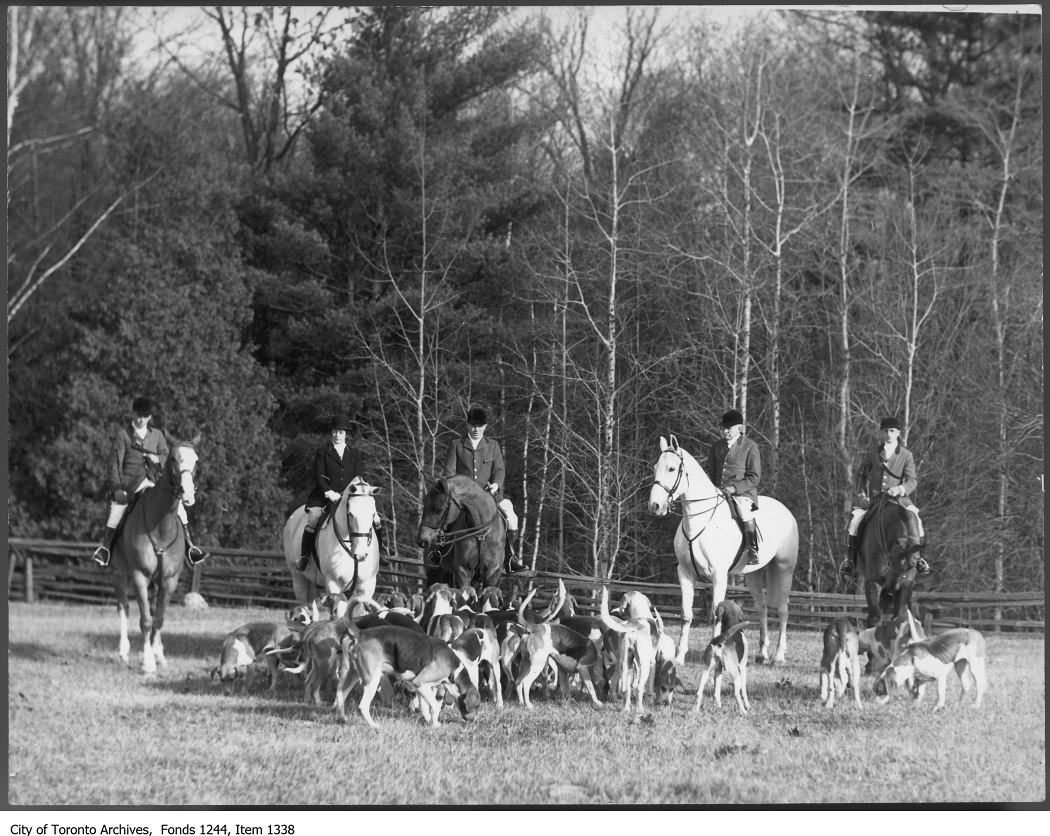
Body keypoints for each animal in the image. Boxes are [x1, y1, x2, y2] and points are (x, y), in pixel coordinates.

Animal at [109, 436, 199, 672]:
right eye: (174, 458)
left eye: (196, 460)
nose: (187, 494)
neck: (160, 526)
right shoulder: (139, 576)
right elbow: (146, 620)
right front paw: (148, 664)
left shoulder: (169, 580)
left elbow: (158, 619)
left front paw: (156, 656)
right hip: (118, 574)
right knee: (124, 608)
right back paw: (123, 652)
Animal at [283, 476, 382, 613]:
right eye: (350, 514)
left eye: (373, 514)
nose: (361, 555)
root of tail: (293, 517)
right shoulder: (333, 583)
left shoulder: (367, 584)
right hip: (298, 576)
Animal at [642, 436, 797, 667]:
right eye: (655, 467)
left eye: (671, 468)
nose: (655, 506)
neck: (699, 520)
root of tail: (786, 510)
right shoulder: (685, 573)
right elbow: (686, 614)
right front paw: (679, 657)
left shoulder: (718, 575)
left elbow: (716, 613)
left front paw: (715, 654)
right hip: (754, 574)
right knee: (761, 607)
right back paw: (762, 654)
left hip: (784, 569)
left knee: (783, 609)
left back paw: (778, 656)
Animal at [856, 489, 923, 625]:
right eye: (891, 561)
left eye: (912, 566)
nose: (892, 588)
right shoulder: (873, 580)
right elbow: (875, 618)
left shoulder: (907, 583)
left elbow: (899, 617)